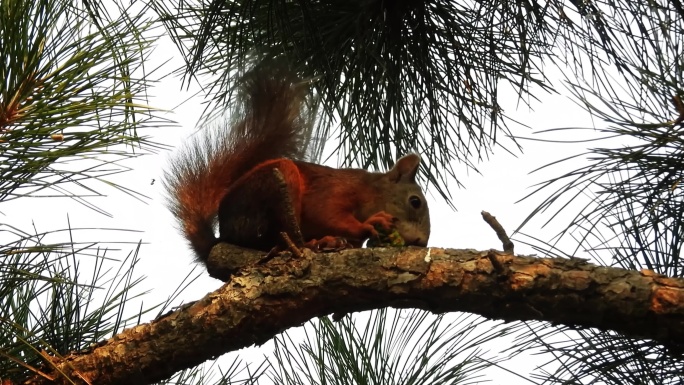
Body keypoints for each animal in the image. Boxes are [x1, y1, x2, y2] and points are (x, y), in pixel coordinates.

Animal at [165, 66, 430, 264]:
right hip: (274, 189)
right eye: (415, 202)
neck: (368, 189)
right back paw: (315, 243)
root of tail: (223, 236)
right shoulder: (335, 191)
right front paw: (370, 224)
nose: (421, 243)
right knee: (273, 241)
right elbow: (328, 213)